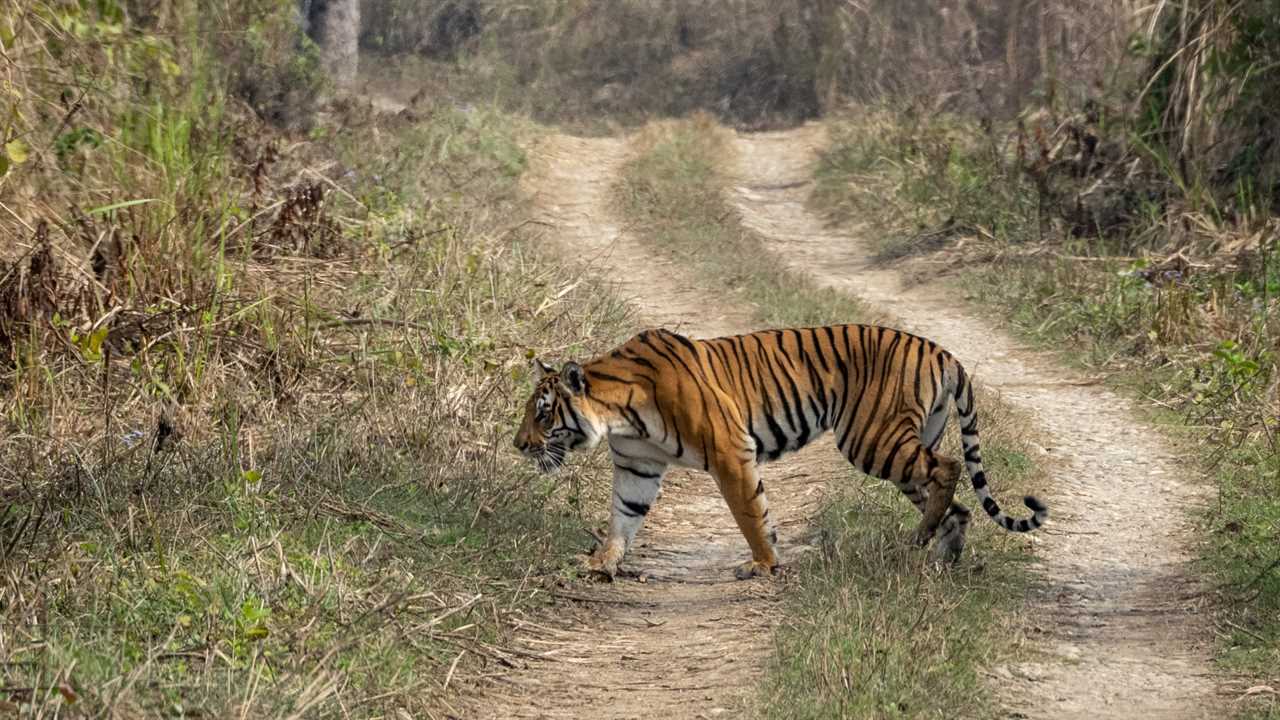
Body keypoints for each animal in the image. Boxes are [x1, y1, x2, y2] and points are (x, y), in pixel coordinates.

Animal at [514, 325, 1044, 576]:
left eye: (543, 414)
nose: (519, 445)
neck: (618, 412)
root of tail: (941, 350)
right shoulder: (636, 466)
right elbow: (623, 518)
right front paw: (602, 564)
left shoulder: (730, 451)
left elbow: (750, 513)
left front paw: (764, 564)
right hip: (903, 448)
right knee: (957, 504)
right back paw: (938, 556)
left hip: (873, 440)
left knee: (950, 467)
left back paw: (922, 538)